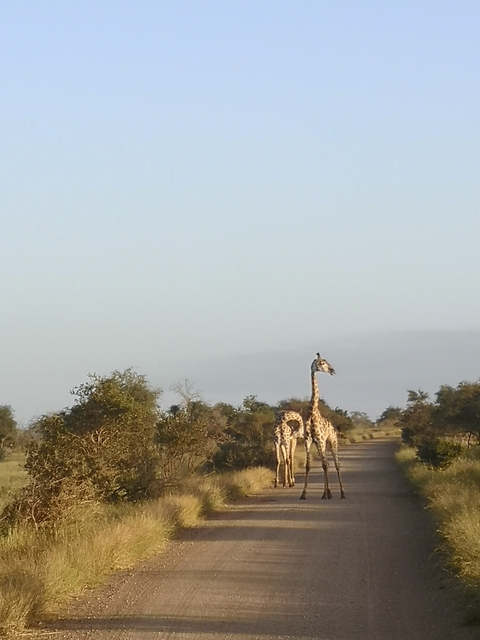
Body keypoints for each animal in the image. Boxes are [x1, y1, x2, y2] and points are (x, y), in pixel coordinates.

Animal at [300, 352, 346, 500]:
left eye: (325, 361)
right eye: (322, 363)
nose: (333, 371)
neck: (311, 413)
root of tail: (333, 427)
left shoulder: (319, 439)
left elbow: (325, 465)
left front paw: (328, 493)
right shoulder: (308, 440)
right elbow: (308, 466)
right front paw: (303, 494)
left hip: (332, 441)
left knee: (336, 464)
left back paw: (342, 493)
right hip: (323, 444)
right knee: (326, 463)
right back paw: (326, 493)